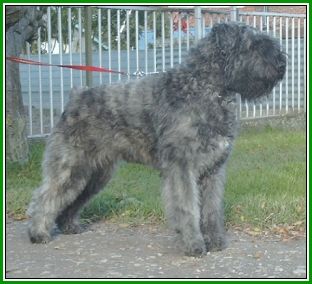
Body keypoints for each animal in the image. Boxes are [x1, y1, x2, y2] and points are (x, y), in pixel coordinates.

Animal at [28, 22, 286, 256]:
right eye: (252, 45)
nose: (282, 62)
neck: (204, 87)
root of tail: (75, 97)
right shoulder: (182, 167)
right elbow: (188, 207)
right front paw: (194, 244)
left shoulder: (213, 170)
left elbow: (211, 209)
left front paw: (215, 241)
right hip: (71, 167)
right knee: (45, 196)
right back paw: (38, 233)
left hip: (94, 175)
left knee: (70, 200)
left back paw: (69, 225)